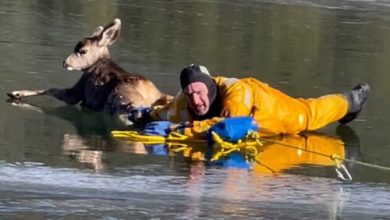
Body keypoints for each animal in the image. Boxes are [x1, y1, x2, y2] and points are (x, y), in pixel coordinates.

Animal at [6, 18, 173, 123]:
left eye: (83, 51)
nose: (65, 62)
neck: (98, 62)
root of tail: (155, 96)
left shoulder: (79, 88)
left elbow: (52, 90)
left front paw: (17, 93)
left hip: (121, 100)